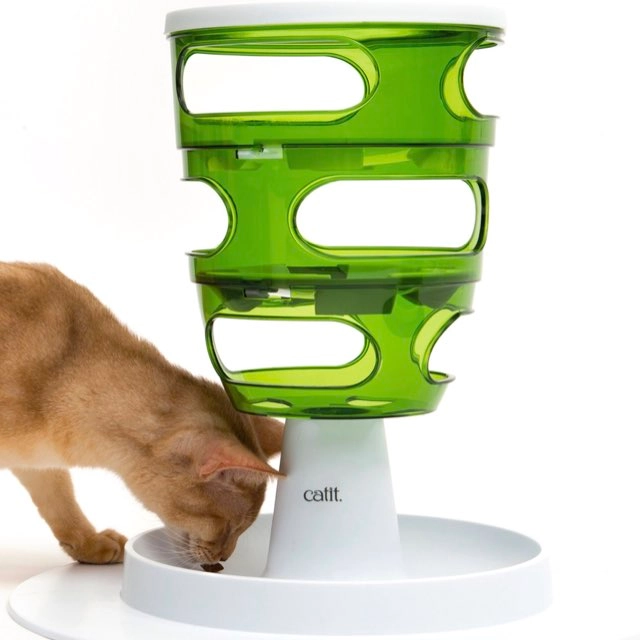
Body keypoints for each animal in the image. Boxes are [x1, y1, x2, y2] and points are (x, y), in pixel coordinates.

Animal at [0, 262, 283, 566]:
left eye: (241, 529)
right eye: (230, 526)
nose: (224, 558)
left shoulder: (38, 464)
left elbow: (61, 502)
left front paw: (89, 544)